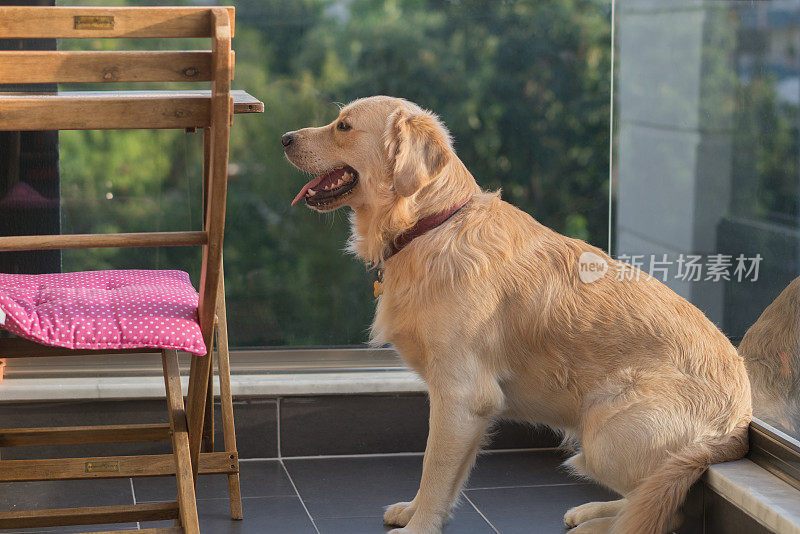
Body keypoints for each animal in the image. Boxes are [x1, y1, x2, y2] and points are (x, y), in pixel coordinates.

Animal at [282, 97, 752, 534]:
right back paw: (594, 512)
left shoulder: (462, 395)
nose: (284, 138)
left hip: (604, 435)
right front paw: (417, 511)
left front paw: (419, 527)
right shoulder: (465, 407)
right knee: (648, 501)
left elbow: (433, 468)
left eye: (343, 126)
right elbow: (445, 479)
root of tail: (741, 418)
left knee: (667, 511)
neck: (430, 225)